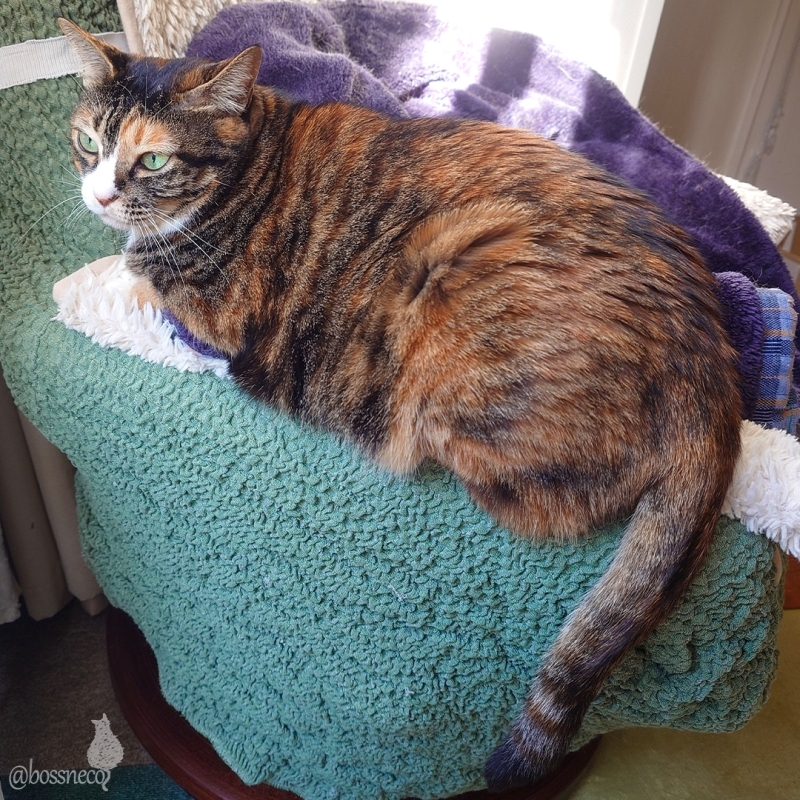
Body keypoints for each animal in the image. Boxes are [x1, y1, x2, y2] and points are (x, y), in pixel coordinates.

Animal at [59, 19, 742, 791]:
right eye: (89, 142)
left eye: (152, 160)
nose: (99, 197)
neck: (250, 159)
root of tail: (712, 375)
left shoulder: (210, 311)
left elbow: (134, 284)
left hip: (451, 288)